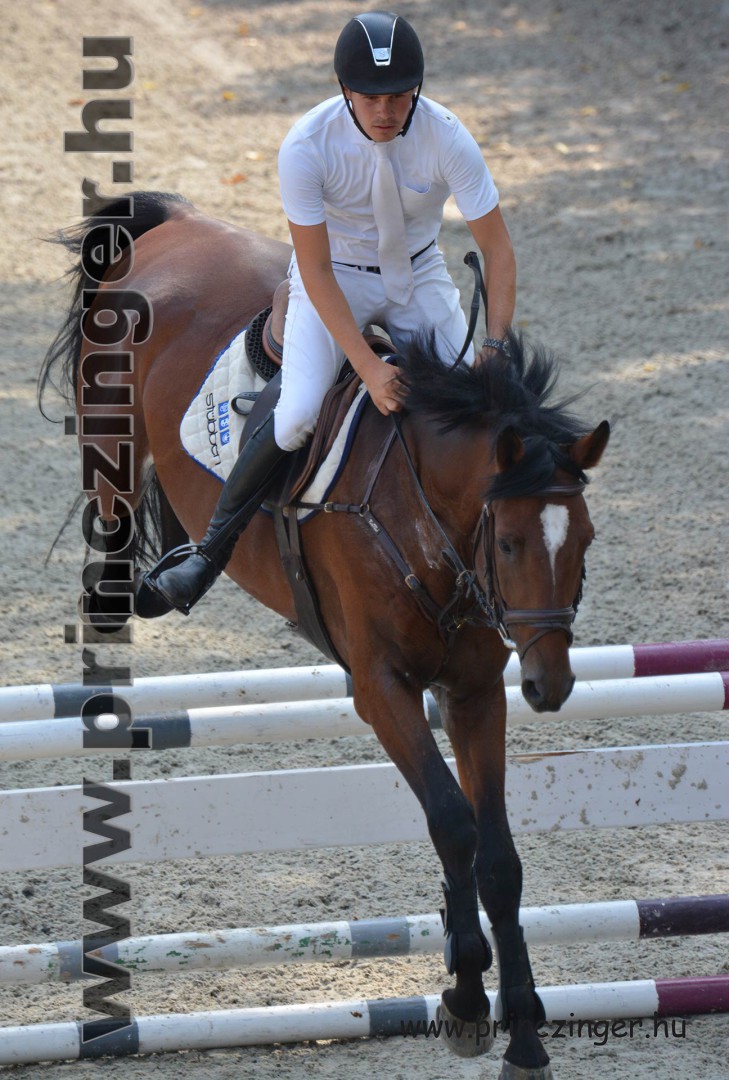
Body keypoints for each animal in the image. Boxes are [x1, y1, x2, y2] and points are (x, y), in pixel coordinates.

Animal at [40, 190, 609, 1079]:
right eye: (512, 543)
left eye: (581, 540)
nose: (549, 686)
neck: (422, 516)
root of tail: (172, 223)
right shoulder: (381, 688)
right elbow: (451, 821)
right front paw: (466, 999)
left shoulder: (474, 691)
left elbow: (494, 854)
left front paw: (518, 1025)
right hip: (110, 452)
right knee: (111, 545)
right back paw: (129, 616)